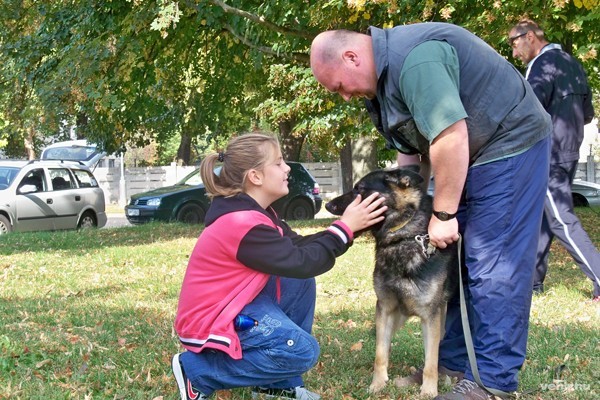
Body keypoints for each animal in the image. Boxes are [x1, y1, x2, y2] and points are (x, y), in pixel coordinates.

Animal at [326, 166, 458, 396]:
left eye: (360, 189)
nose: (327, 205)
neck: (403, 238)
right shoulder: (385, 310)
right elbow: (380, 353)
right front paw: (377, 385)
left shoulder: (430, 317)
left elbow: (431, 361)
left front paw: (428, 391)